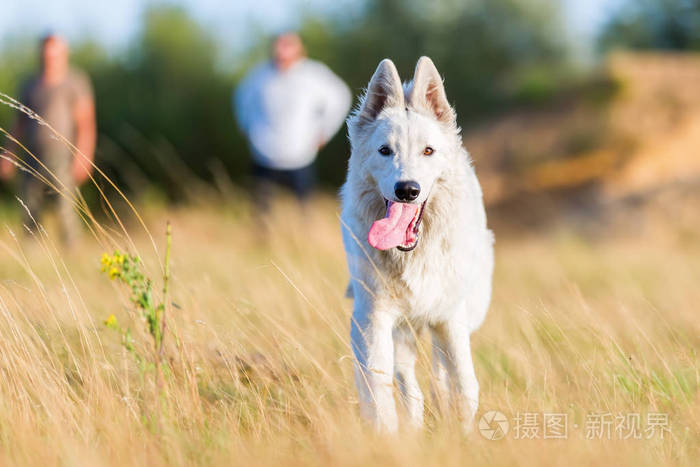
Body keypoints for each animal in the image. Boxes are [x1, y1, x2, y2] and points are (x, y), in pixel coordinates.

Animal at [340, 56, 492, 434]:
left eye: (428, 151)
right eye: (385, 150)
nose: (407, 190)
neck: (413, 256)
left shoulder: (451, 318)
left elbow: (465, 385)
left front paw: (463, 435)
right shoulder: (373, 319)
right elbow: (378, 387)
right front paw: (389, 436)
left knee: (441, 372)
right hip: (402, 333)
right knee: (410, 384)